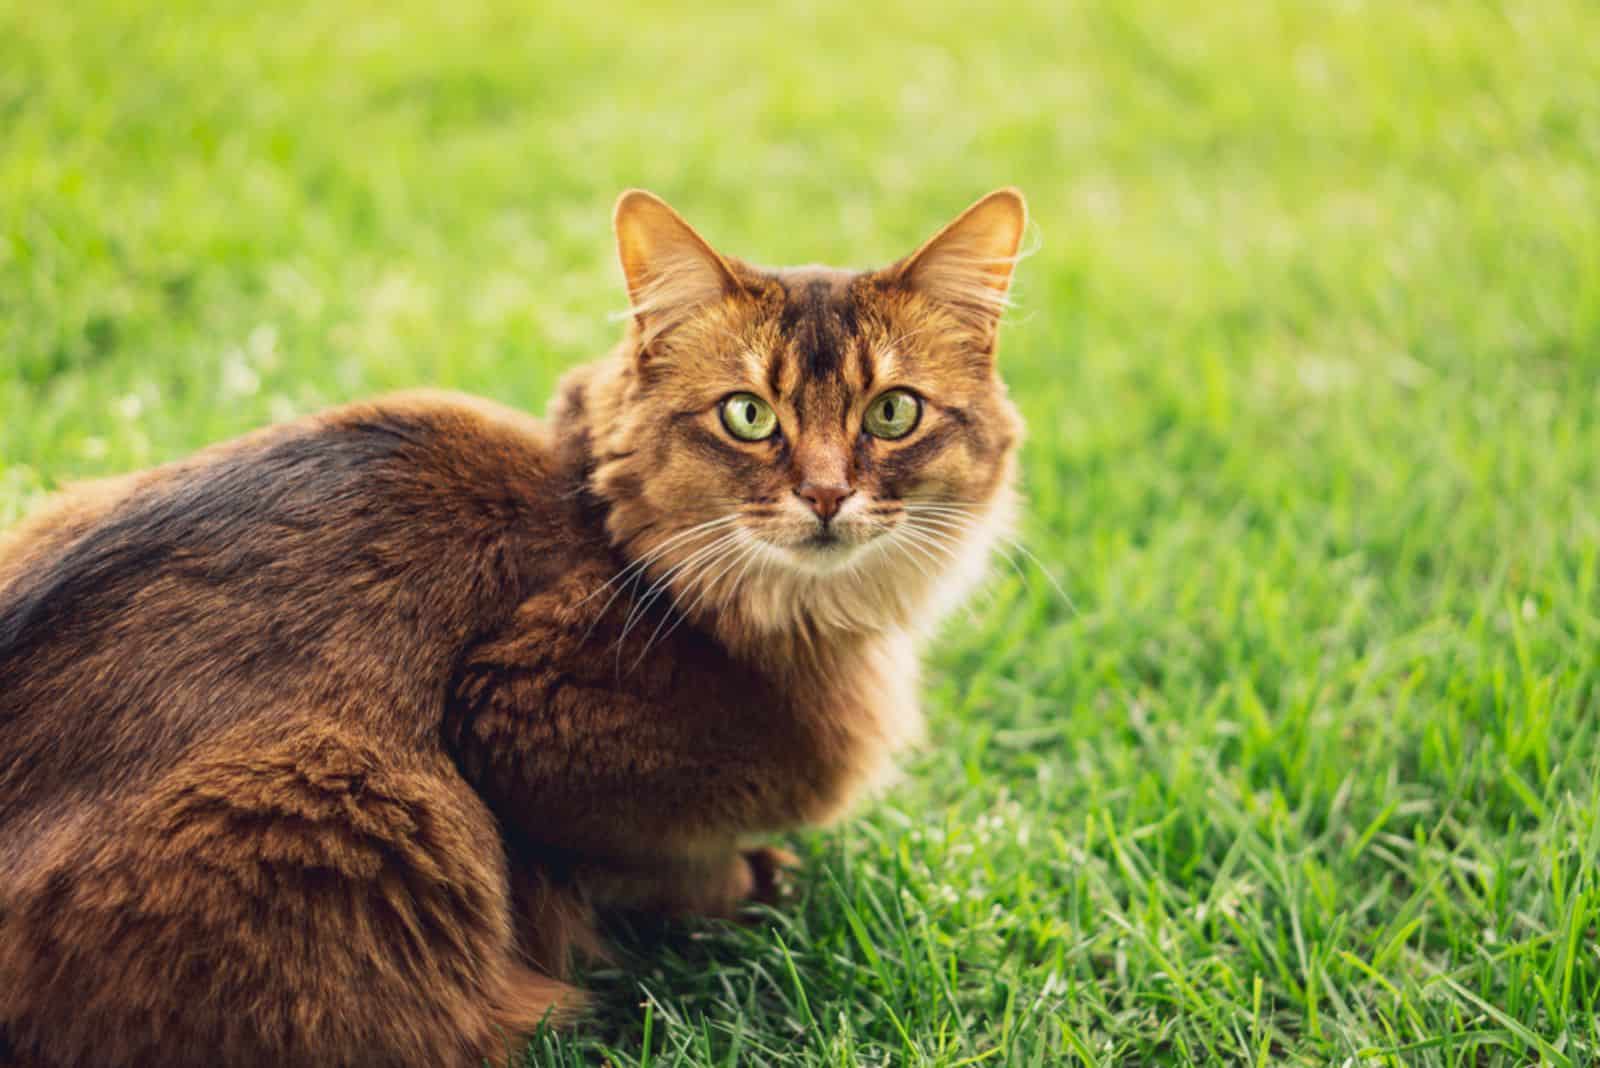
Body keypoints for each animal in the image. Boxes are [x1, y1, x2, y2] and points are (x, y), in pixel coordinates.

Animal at [0, 189, 1024, 1068]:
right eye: (747, 415)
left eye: (892, 412)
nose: (824, 495)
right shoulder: (516, 721)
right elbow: (654, 862)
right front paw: (753, 886)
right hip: (357, 799)